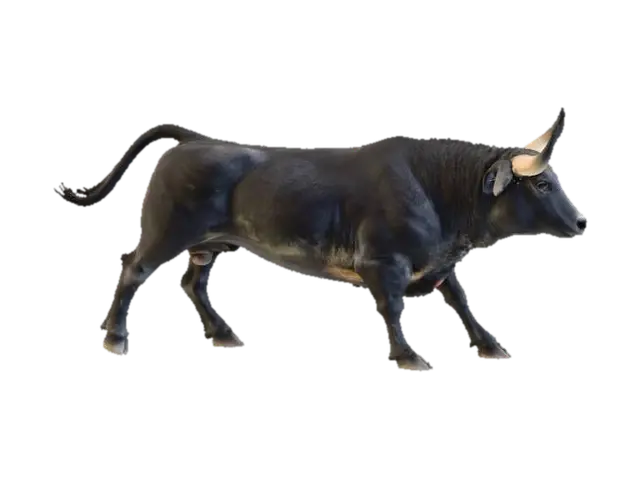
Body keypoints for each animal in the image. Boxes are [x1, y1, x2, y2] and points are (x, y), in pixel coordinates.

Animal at [54, 109, 586, 373]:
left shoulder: (436, 262)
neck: (440, 194)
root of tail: (196, 140)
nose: (583, 221)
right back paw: (114, 339)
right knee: (133, 272)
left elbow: (461, 299)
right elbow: (394, 308)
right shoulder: (382, 263)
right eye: (542, 184)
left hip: (208, 245)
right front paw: (410, 357)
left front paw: (490, 347)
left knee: (193, 283)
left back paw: (225, 335)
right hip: (165, 231)